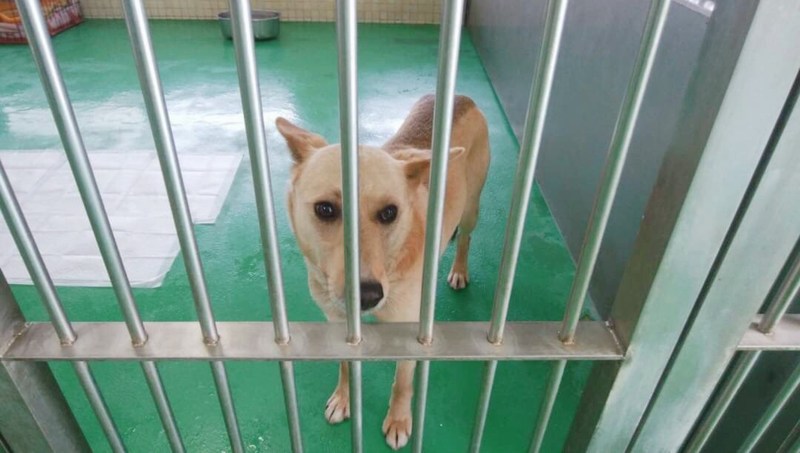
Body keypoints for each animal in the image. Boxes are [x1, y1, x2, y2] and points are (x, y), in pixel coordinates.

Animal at [275, 94, 490, 450]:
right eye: (325, 209)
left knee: (467, 236)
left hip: (472, 207)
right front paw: (344, 398)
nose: (367, 295)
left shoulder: (410, 332)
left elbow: (402, 383)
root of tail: (464, 98)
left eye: (390, 213)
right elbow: (345, 366)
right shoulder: (338, 323)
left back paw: (460, 269)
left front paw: (399, 420)